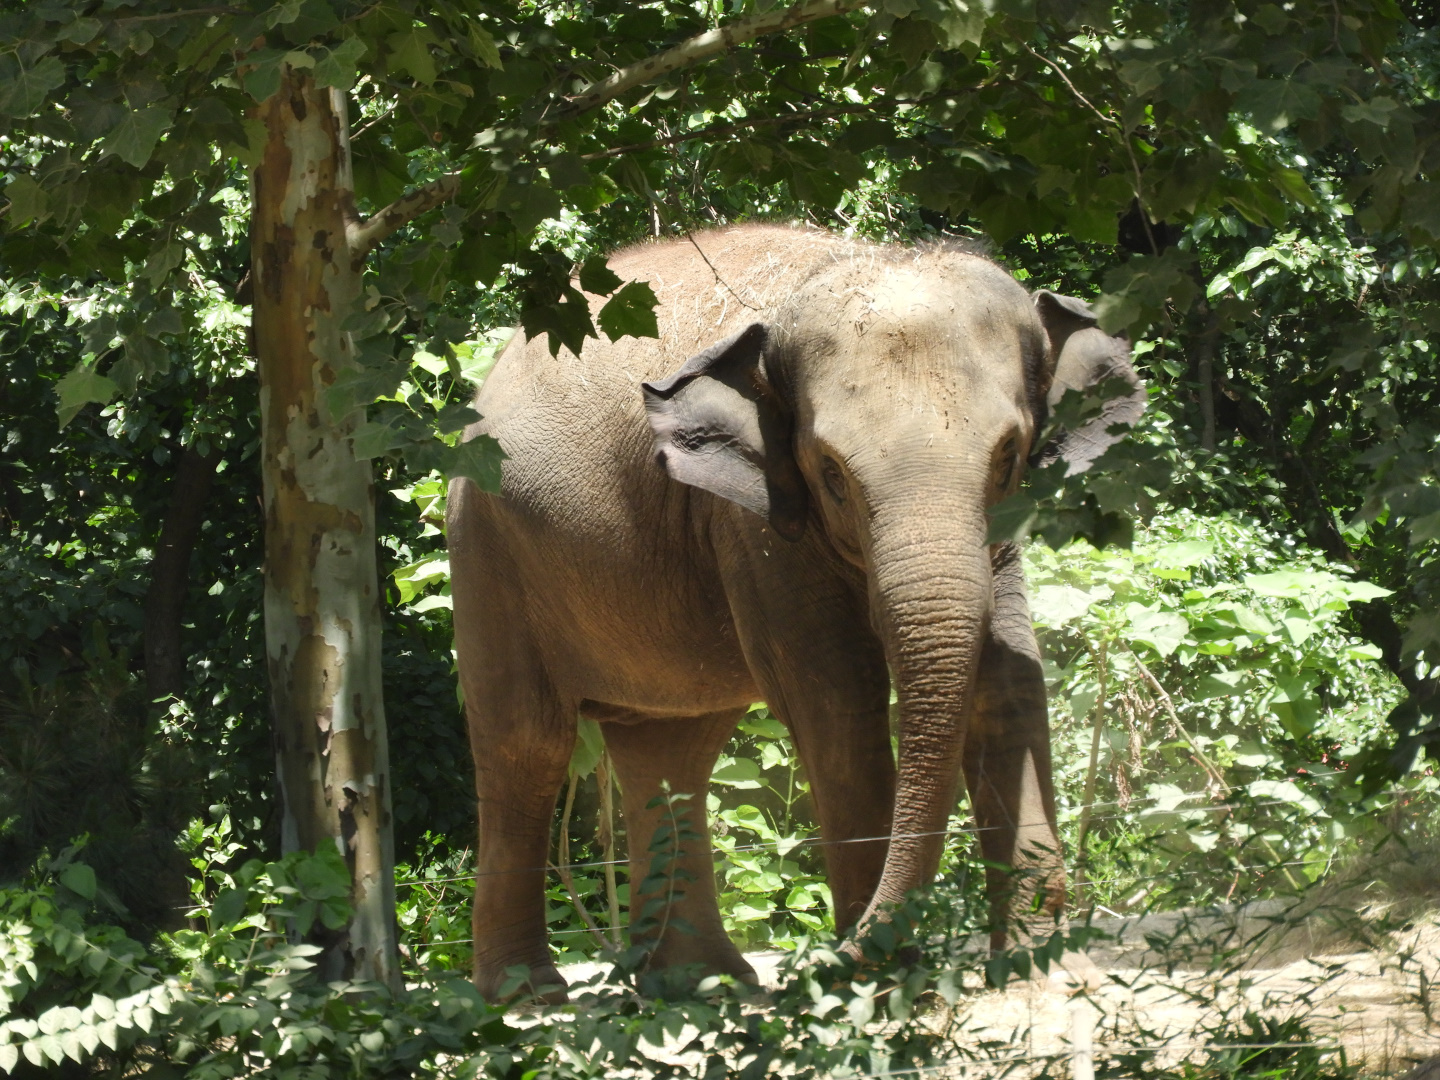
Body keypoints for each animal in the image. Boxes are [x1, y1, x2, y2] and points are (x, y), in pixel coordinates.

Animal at [447, 224, 1144, 1001]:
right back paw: (528, 993)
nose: (819, 967)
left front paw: (1045, 974)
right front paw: (880, 982)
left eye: (1009, 457)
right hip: (485, 546)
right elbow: (836, 697)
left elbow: (1011, 679)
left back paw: (700, 983)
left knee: (672, 747)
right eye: (831, 474)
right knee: (528, 742)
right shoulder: (749, 520)